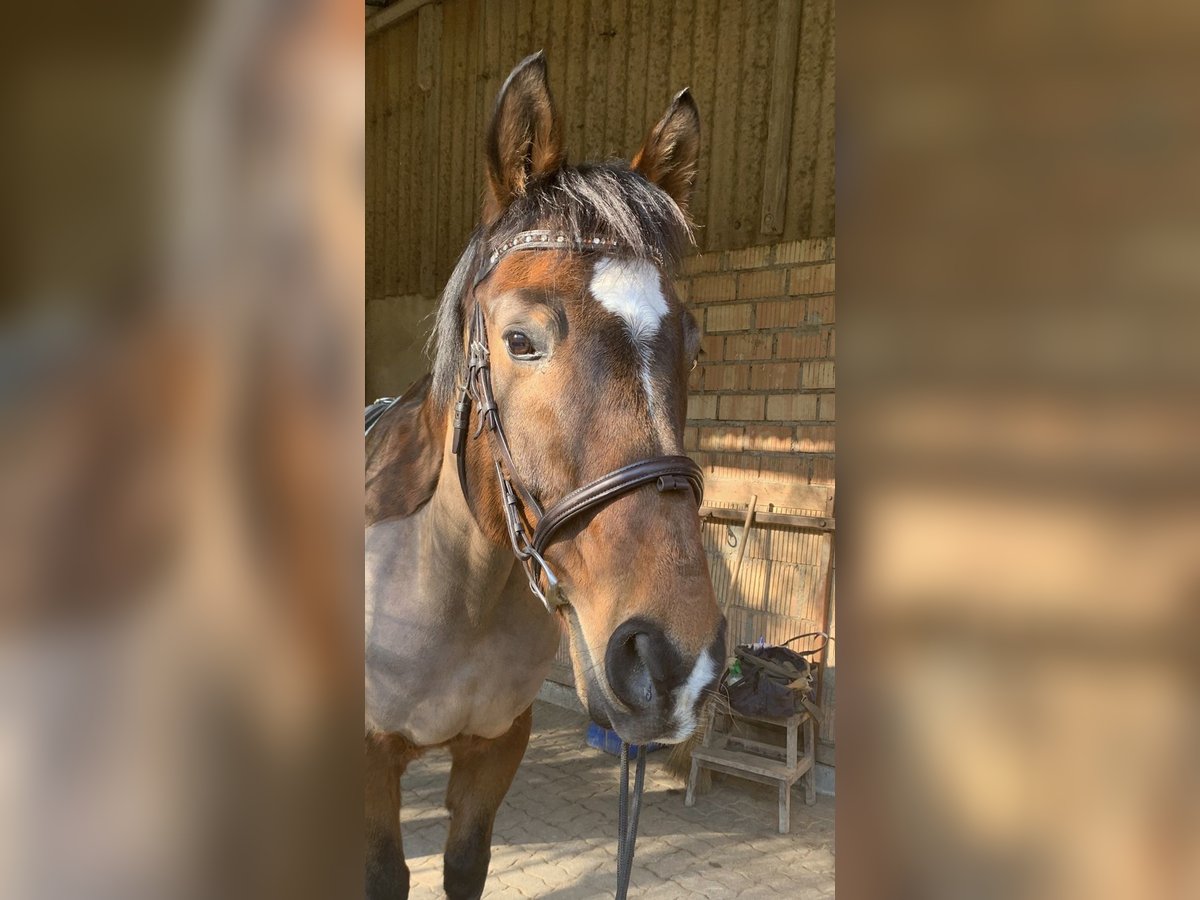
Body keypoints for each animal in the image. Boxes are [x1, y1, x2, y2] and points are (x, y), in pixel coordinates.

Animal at [362, 52, 720, 897]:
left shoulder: (496, 750)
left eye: (693, 346)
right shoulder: (367, 765)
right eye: (520, 339)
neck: (453, 601)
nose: (674, 664)